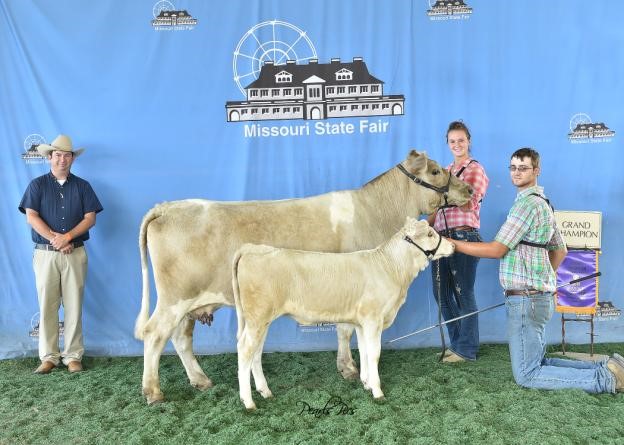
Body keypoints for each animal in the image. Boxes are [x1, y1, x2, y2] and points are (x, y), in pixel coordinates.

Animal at [234, 217, 454, 408]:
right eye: (430, 233)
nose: (453, 246)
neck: (390, 269)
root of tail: (253, 248)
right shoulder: (373, 319)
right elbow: (374, 353)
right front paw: (377, 391)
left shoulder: (361, 322)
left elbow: (364, 351)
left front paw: (366, 383)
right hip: (257, 317)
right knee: (245, 350)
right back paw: (248, 402)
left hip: (261, 320)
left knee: (256, 352)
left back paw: (265, 392)